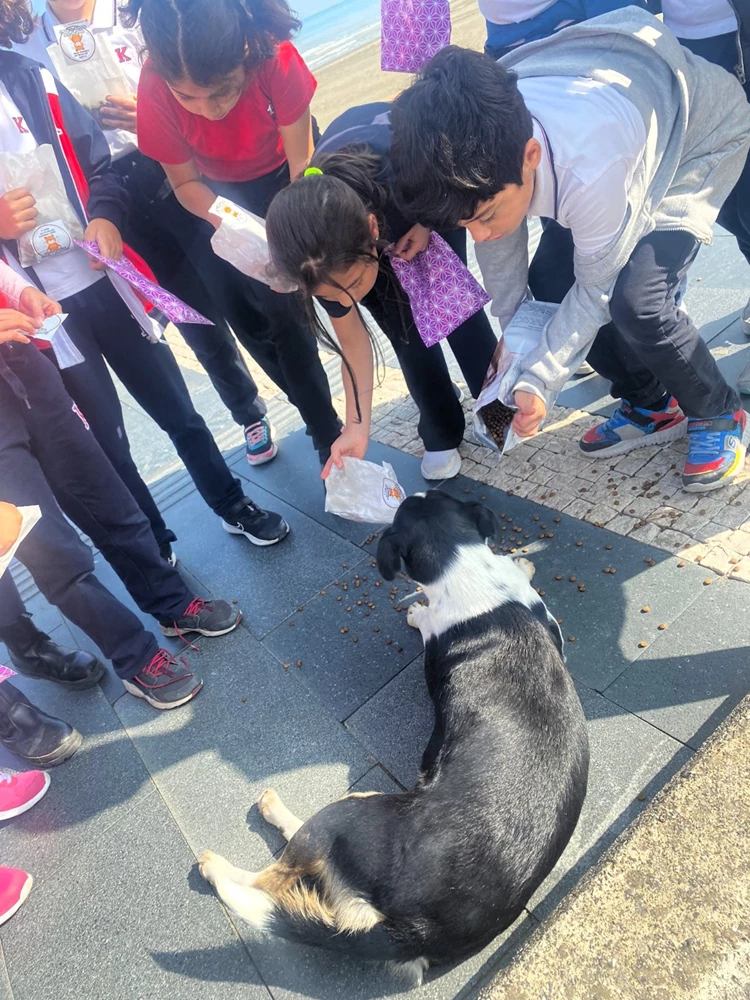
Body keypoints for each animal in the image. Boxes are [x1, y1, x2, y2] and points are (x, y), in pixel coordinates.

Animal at [200, 492, 592, 984]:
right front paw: (523, 564)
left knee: (268, 881)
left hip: (348, 811)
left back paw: (230, 851)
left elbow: (424, 618)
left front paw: (417, 609)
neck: (466, 566)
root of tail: (418, 929)